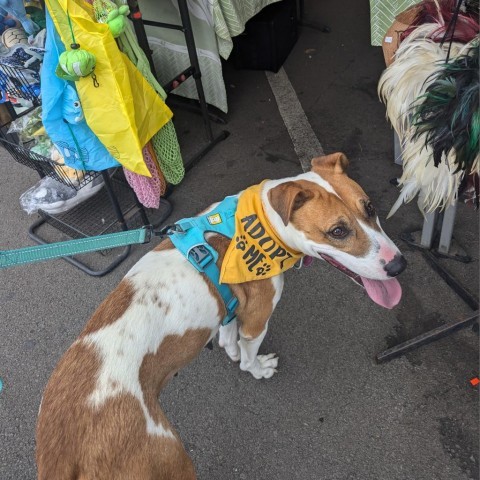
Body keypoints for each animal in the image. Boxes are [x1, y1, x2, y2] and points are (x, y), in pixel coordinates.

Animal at [36, 154, 404, 480]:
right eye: (337, 231)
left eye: (370, 208)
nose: (399, 265)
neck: (262, 224)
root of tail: (65, 455)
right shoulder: (256, 320)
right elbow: (248, 357)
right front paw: (256, 368)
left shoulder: (229, 310)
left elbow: (228, 337)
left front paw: (230, 349)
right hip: (170, 461)